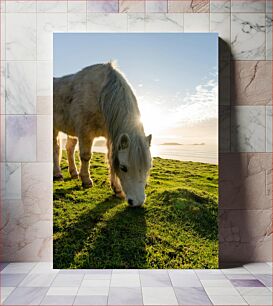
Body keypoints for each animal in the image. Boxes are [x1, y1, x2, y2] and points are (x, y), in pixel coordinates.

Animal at [52, 61, 151, 207]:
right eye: (124, 167)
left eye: (148, 167)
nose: (137, 202)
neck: (101, 95)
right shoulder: (85, 132)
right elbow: (86, 156)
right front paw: (86, 181)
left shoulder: (111, 136)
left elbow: (110, 158)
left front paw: (117, 189)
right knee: (56, 148)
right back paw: (58, 174)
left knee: (69, 148)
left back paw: (74, 173)